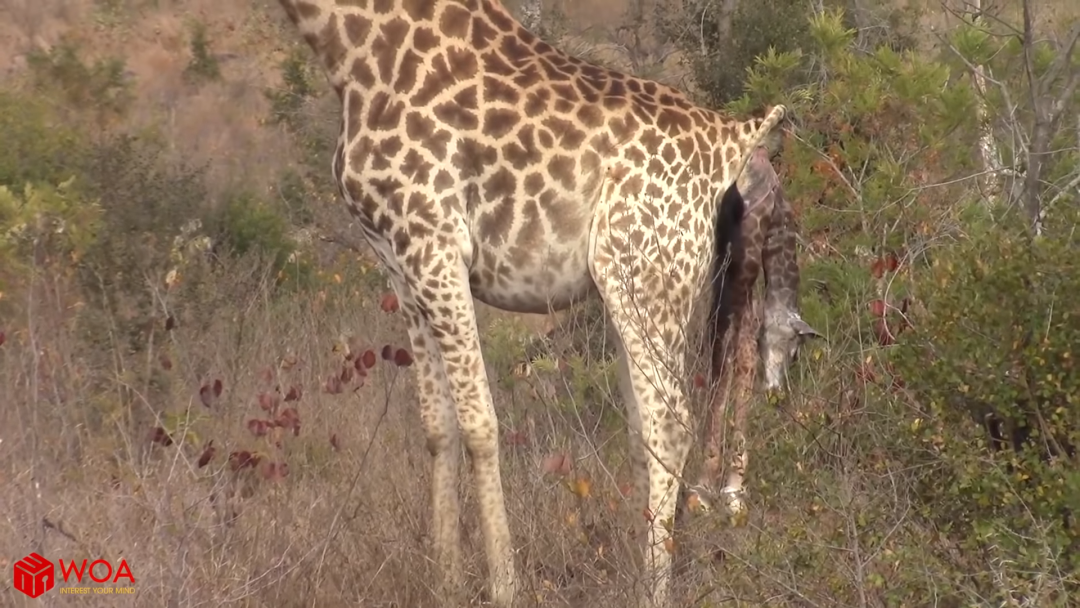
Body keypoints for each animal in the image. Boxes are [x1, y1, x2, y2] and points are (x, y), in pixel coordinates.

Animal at [274, 0, 812, 604]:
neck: (349, 50)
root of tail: (739, 143)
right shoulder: (397, 258)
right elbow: (437, 426)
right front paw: (446, 583)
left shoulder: (436, 243)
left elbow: (480, 424)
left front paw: (503, 586)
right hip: (649, 285)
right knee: (647, 426)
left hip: (644, 275)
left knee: (671, 421)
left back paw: (654, 585)